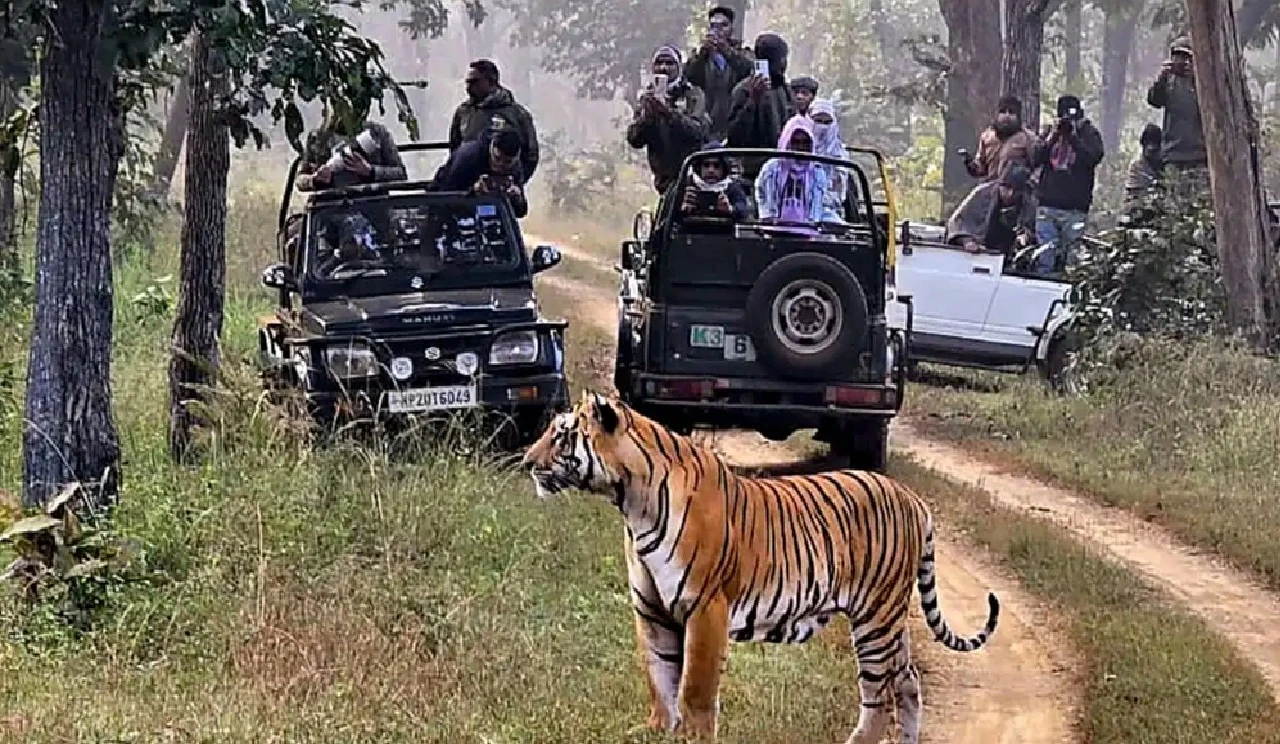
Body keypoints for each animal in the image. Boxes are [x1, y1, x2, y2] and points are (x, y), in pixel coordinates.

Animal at [520, 390, 1000, 743]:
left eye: (561, 436)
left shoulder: (706, 608)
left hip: (876, 618)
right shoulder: (652, 611)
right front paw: (656, 731)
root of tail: (913, 498)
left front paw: (692, 737)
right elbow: (660, 680)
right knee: (908, 682)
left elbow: (694, 690)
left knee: (879, 698)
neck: (630, 503)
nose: (525, 461)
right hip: (889, 620)